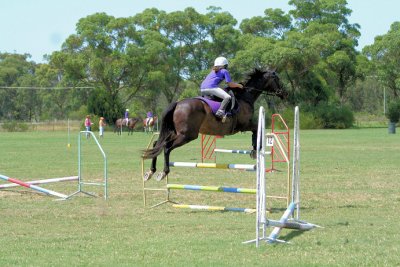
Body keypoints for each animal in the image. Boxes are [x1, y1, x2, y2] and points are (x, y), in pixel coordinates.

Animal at [142, 69, 286, 182]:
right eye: (277, 79)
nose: (284, 93)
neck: (245, 96)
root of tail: (177, 103)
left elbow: (256, 130)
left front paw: (255, 150)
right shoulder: (244, 125)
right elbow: (256, 129)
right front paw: (255, 150)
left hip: (175, 132)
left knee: (157, 144)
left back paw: (150, 171)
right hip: (187, 135)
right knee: (166, 147)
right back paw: (163, 172)